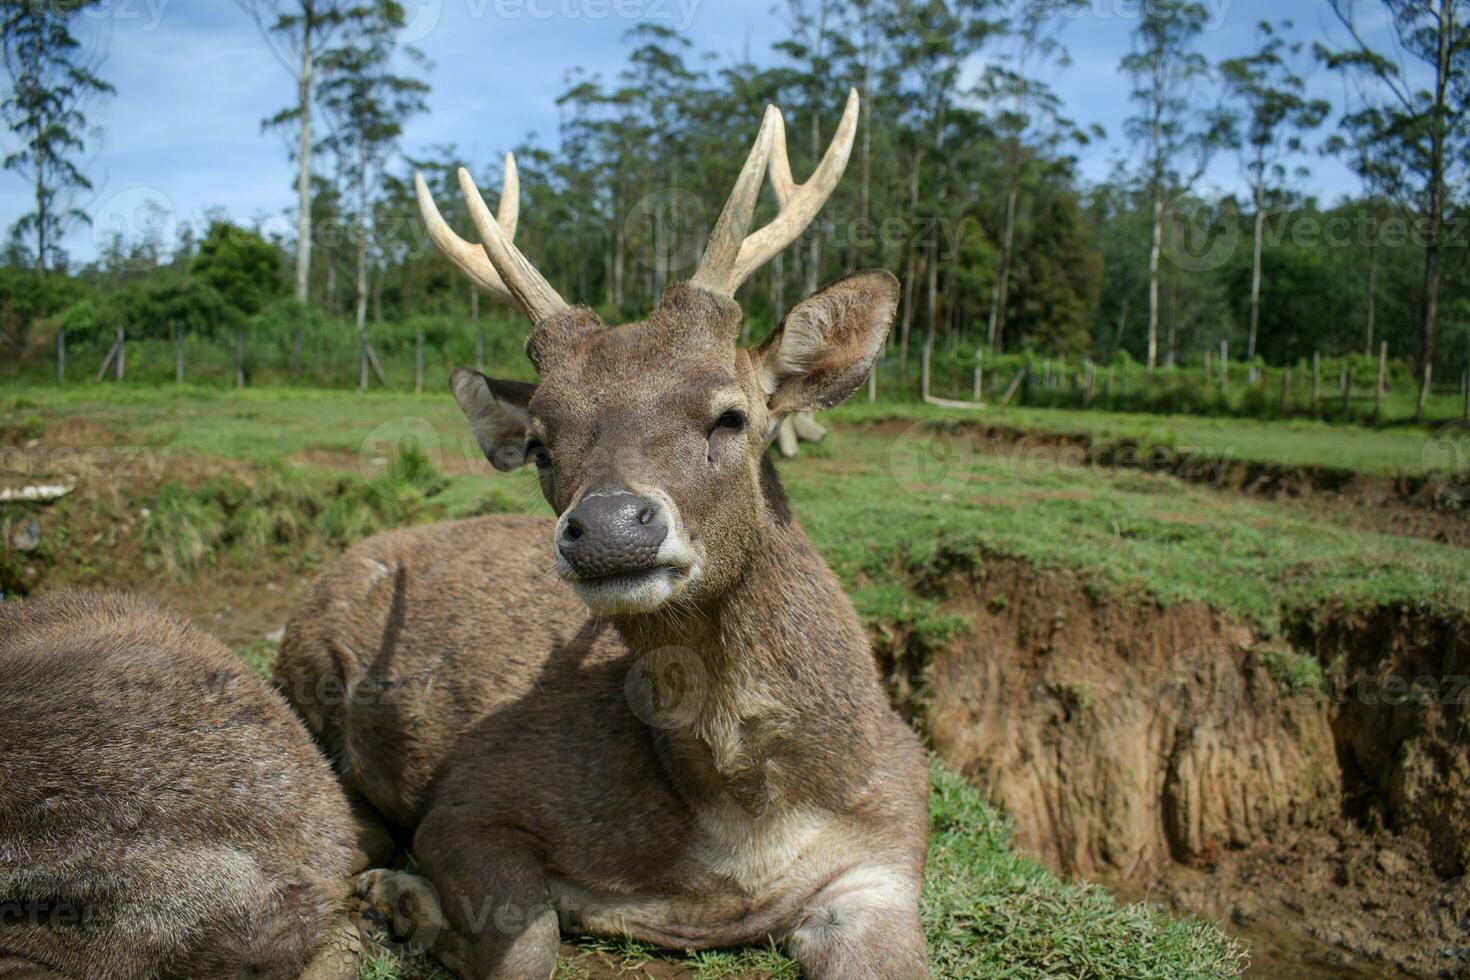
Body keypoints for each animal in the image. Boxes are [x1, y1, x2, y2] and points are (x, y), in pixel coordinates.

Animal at [276, 86, 929, 980]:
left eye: (731, 414)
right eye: (541, 442)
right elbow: (528, 941)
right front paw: (407, 901)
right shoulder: (472, 799)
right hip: (303, 669)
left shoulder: (889, 847)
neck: (745, 824)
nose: (610, 527)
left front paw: (406, 902)